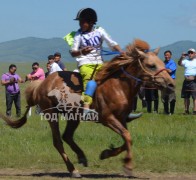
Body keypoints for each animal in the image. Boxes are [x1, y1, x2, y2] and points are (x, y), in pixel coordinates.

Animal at [0, 39, 175, 177]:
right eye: (151, 65)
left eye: (162, 63)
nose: (171, 84)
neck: (118, 85)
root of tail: (42, 84)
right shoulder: (108, 118)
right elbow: (127, 136)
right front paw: (128, 165)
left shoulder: (121, 119)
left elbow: (127, 138)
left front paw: (106, 153)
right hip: (52, 114)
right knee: (58, 141)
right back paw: (73, 170)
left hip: (73, 116)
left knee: (67, 136)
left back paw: (82, 157)